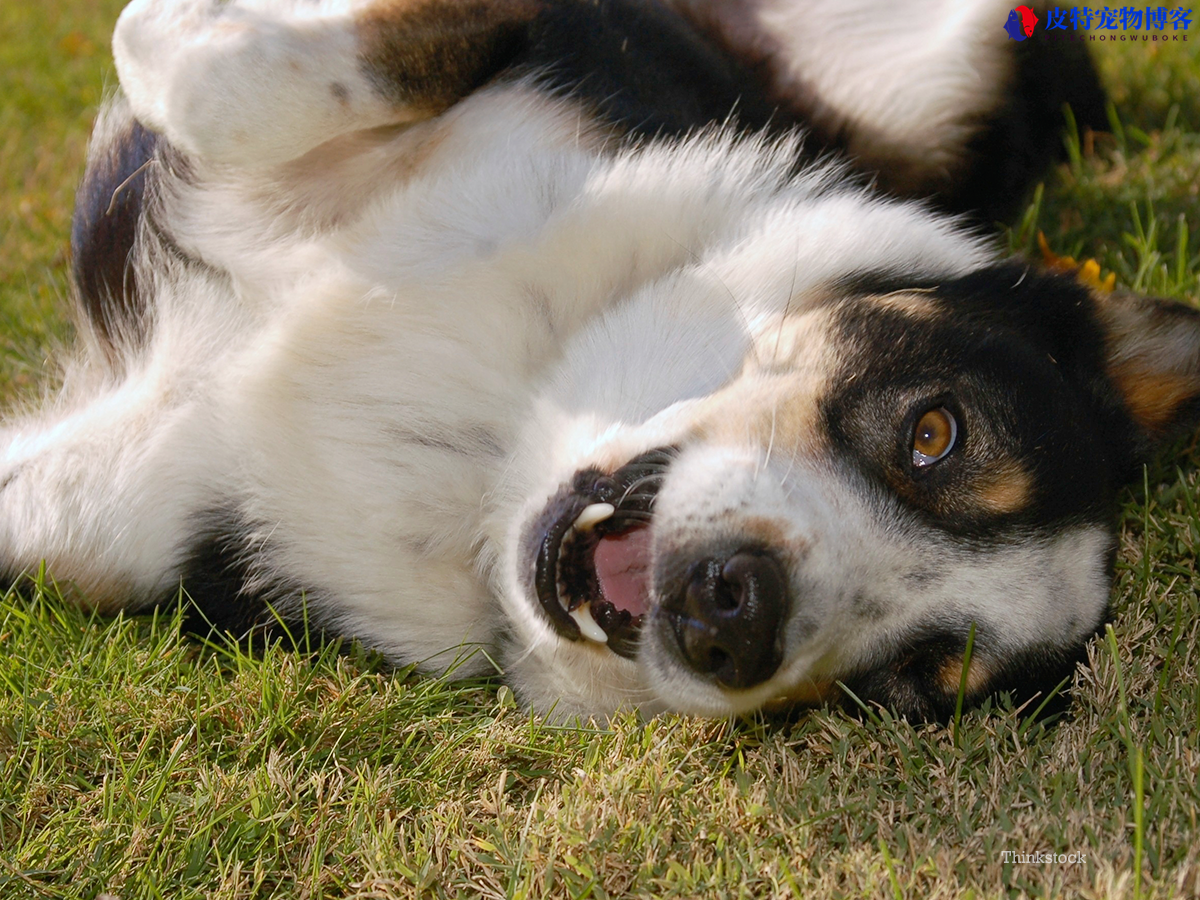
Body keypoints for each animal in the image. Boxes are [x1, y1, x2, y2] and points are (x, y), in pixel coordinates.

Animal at [2, 0, 1200, 724]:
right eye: (934, 432)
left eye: (906, 681)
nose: (734, 615)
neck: (510, 404)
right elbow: (304, 70)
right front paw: (167, 36)